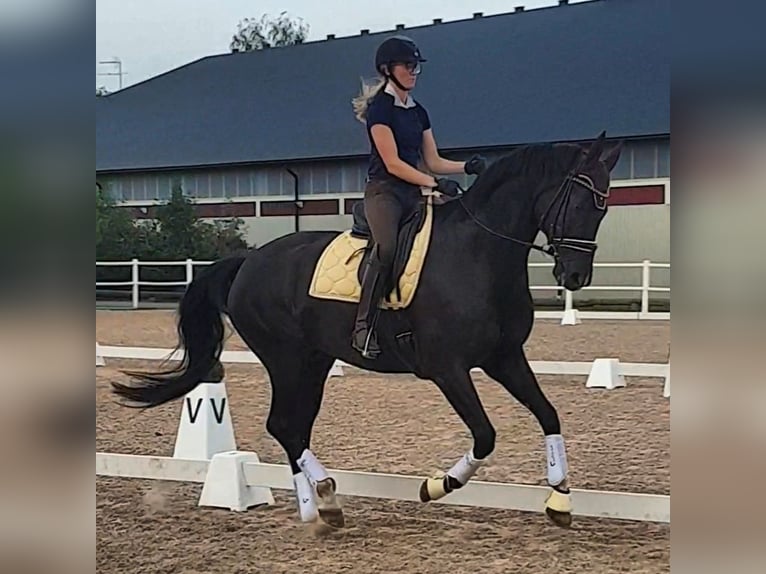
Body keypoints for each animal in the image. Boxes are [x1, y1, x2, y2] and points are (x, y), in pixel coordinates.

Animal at [117, 132, 628, 532]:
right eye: (580, 201)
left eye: (605, 207)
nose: (575, 276)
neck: (479, 256)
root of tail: (248, 261)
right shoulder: (448, 369)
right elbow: (485, 435)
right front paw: (437, 486)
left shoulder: (505, 358)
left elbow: (548, 414)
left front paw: (560, 498)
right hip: (286, 358)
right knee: (283, 425)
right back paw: (322, 498)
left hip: (313, 361)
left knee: (293, 426)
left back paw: (320, 507)